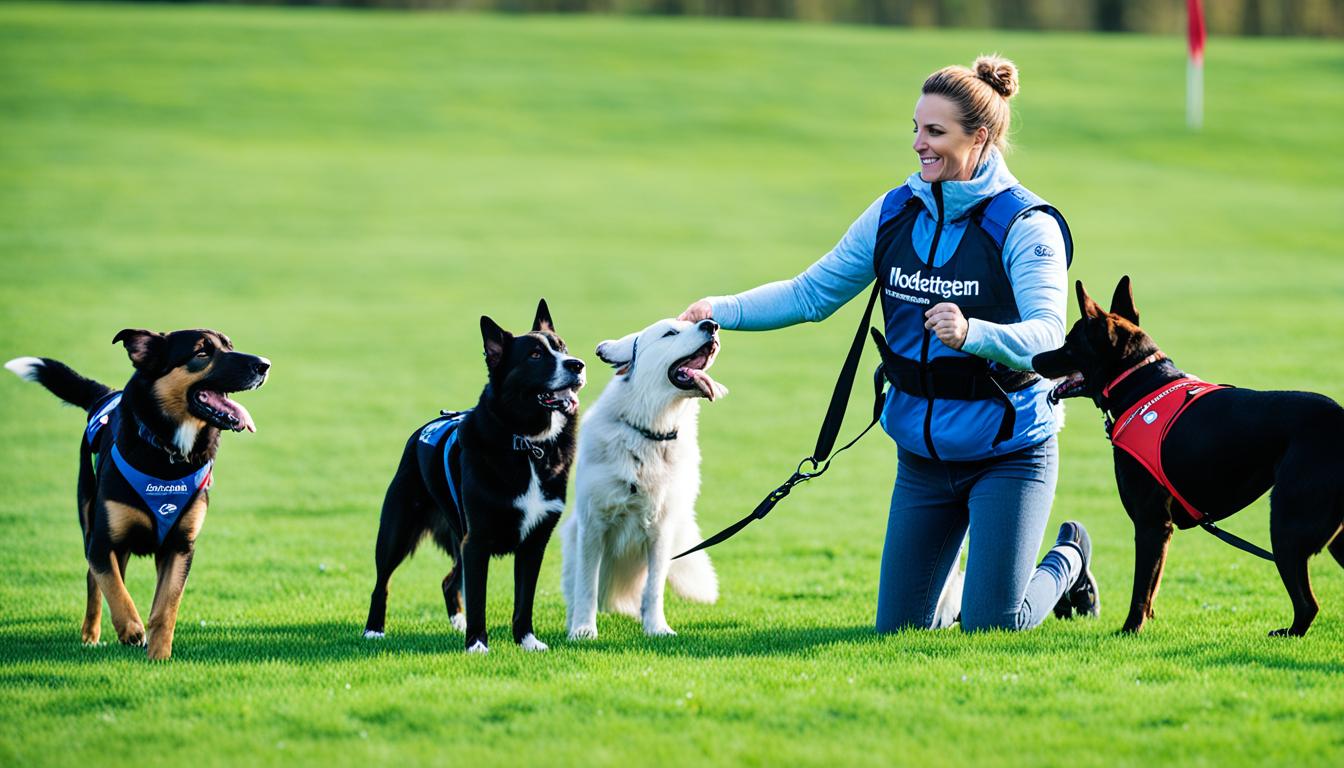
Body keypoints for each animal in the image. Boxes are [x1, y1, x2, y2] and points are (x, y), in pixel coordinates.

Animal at [3, 330, 271, 661]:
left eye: (230, 346)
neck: (168, 452)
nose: (264, 365)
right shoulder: (102, 543)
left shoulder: (180, 547)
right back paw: (91, 636)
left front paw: (159, 656)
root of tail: (107, 395)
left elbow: (165, 608)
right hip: (91, 519)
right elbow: (113, 588)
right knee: (95, 581)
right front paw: (131, 630)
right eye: (202, 352)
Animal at [362, 299, 583, 656]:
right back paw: (374, 630)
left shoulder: (533, 544)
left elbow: (524, 600)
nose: (578, 365)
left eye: (563, 347)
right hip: (397, 531)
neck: (525, 442)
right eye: (535, 355)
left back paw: (457, 622)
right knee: (382, 582)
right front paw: (477, 644)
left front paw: (526, 640)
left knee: (449, 580)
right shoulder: (477, 541)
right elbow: (479, 599)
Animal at [561, 316, 731, 640]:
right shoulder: (592, 525)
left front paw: (656, 628)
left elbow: (653, 589)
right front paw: (583, 630)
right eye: (670, 333)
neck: (650, 432)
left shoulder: (661, 530)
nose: (712, 324)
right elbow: (586, 585)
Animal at [1032, 277, 1338, 637]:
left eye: (1069, 343)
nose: (1034, 359)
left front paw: (1130, 629)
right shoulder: (1162, 529)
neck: (1139, 382)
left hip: (1286, 527)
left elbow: (1141, 588)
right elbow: (1154, 584)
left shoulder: (1150, 522)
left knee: (1307, 604)